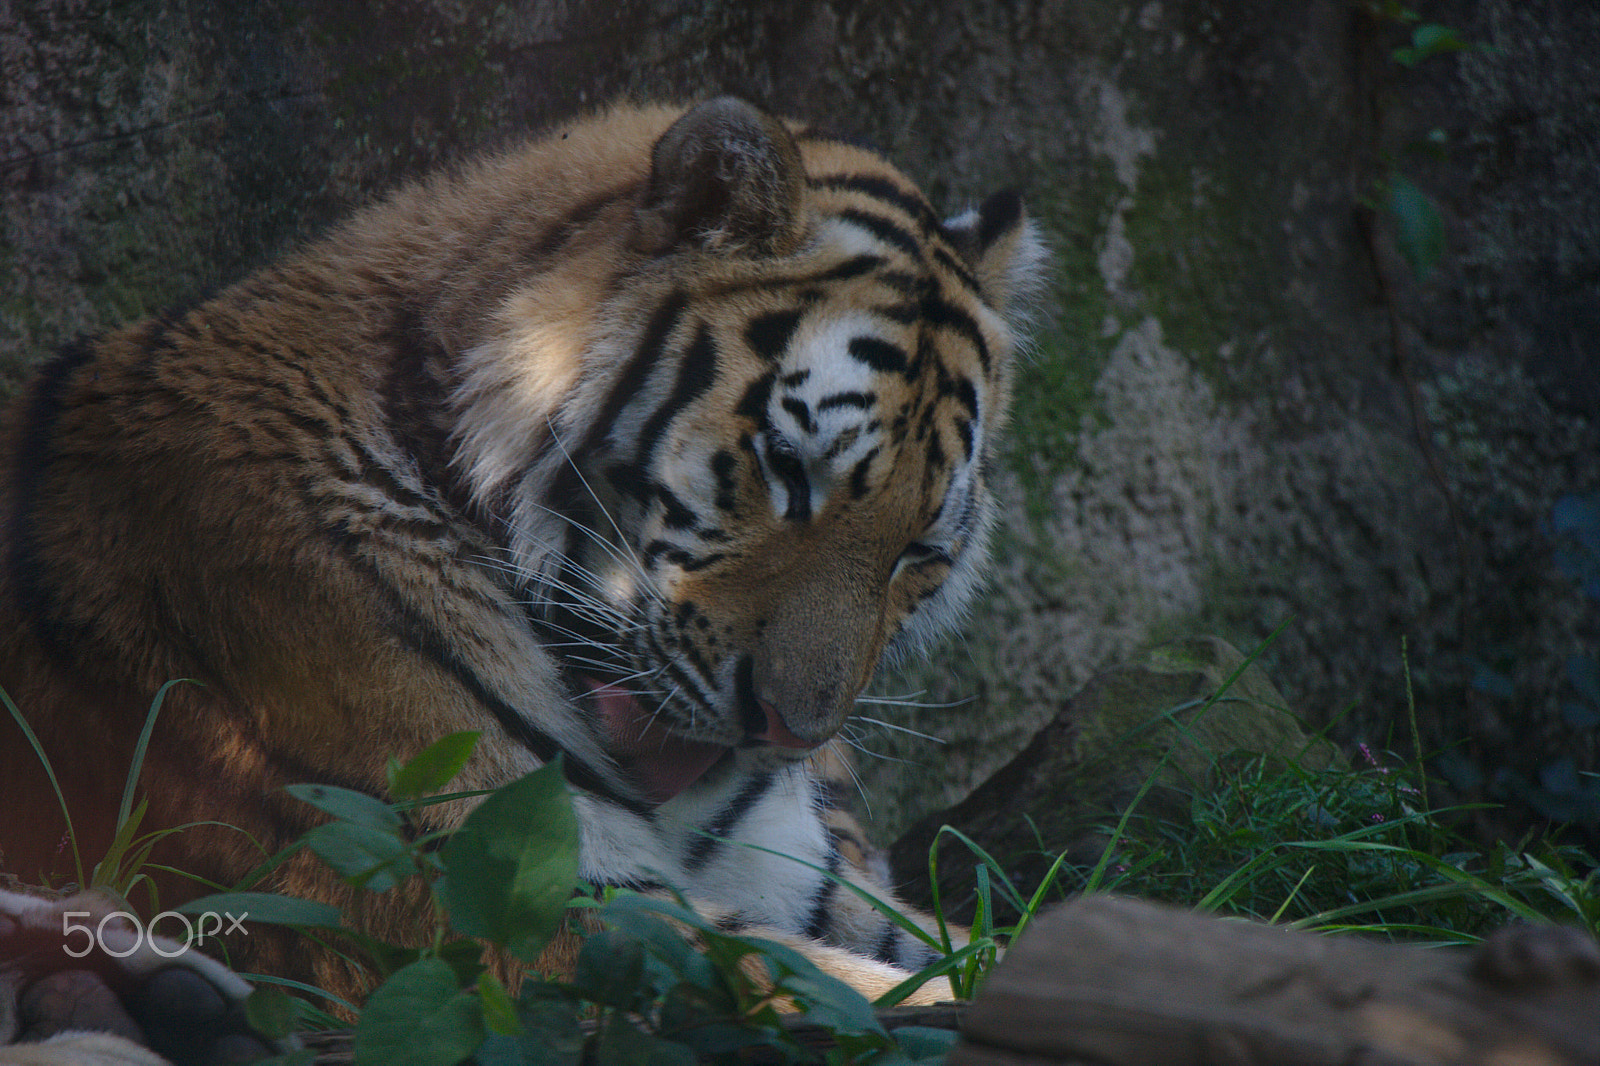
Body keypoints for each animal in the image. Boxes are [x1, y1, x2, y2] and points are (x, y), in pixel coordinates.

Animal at [0, 96, 1044, 1036]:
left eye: (918, 550)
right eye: (787, 469)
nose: (789, 729)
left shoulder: (802, 880)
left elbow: (988, 947)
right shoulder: (498, 883)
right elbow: (853, 993)